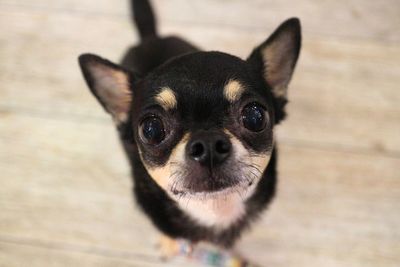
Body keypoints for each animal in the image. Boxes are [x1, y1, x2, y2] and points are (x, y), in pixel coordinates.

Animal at [78, 0, 300, 258]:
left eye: (255, 117)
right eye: (151, 129)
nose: (208, 144)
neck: (214, 210)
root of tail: (151, 37)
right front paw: (170, 243)